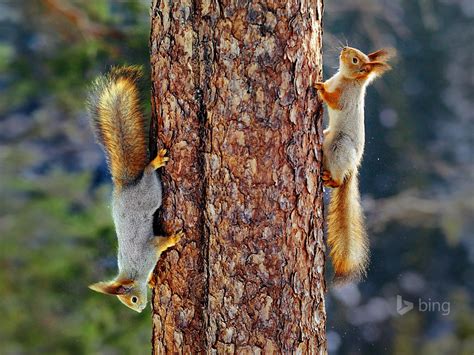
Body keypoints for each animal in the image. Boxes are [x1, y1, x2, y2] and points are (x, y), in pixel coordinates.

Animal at [86, 65, 182, 312]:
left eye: (133, 300)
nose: (139, 310)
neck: (133, 272)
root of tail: (127, 186)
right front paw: (153, 280)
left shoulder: (148, 252)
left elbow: (160, 243)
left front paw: (173, 239)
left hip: (149, 192)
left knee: (148, 173)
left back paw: (155, 162)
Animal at [316, 47, 394, 286]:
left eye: (354, 60)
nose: (344, 49)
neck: (346, 79)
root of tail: (352, 167)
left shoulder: (345, 99)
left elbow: (333, 101)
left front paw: (320, 88)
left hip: (341, 147)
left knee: (337, 180)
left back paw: (332, 179)